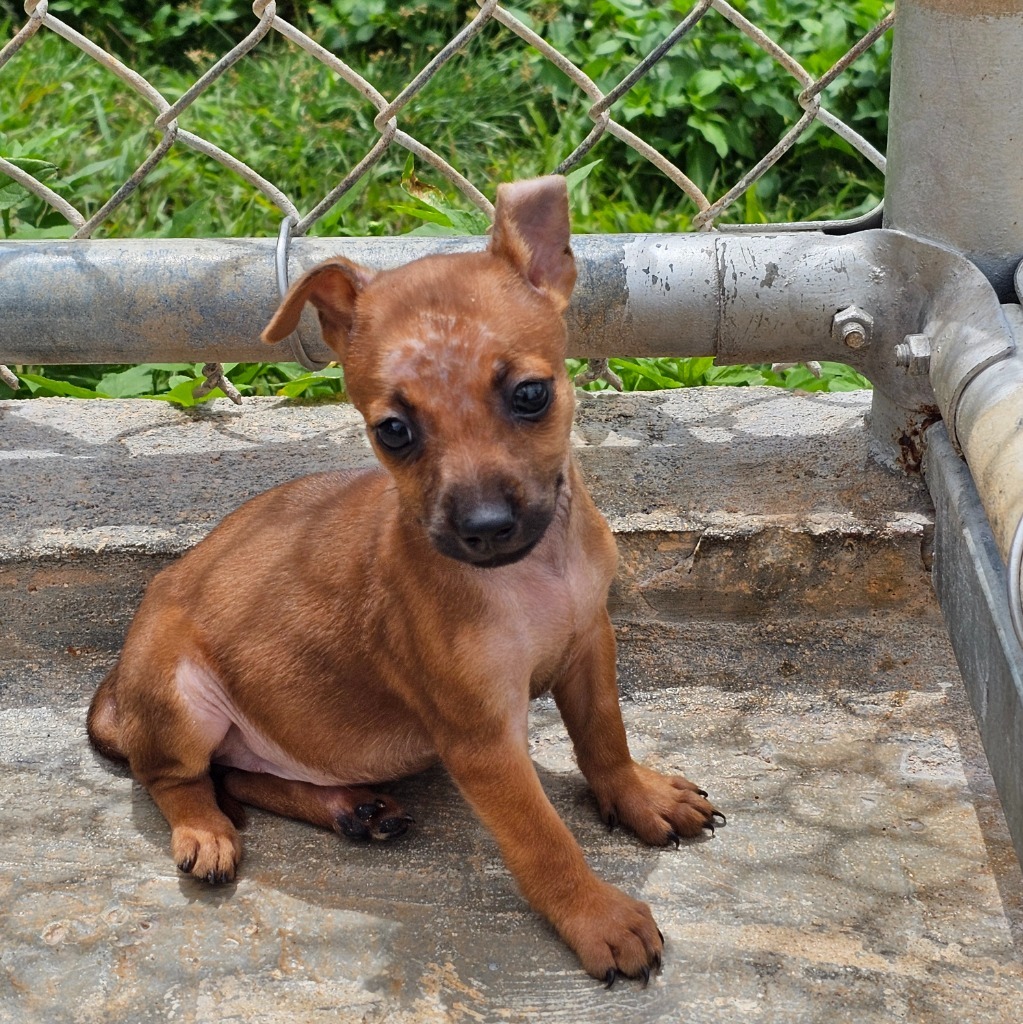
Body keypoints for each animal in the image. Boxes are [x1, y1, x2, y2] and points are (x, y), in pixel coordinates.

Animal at [92, 176, 725, 983]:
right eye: (392, 430)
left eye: (530, 394)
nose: (484, 527)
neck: (533, 574)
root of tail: (116, 691)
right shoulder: (482, 740)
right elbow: (543, 839)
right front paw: (596, 916)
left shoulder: (590, 644)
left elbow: (604, 737)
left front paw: (637, 795)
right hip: (179, 699)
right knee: (177, 779)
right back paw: (206, 831)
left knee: (237, 774)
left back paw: (349, 808)